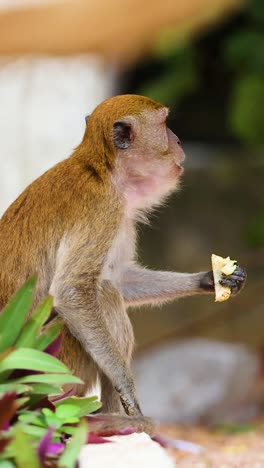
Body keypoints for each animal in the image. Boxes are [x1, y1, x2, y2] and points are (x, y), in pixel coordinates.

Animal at [0, 95, 245, 436]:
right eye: (164, 124)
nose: (178, 140)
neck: (101, 170)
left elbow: (121, 279)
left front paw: (210, 279)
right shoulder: (104, 209)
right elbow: (73, 292)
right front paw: (127, 390)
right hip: (51, 366)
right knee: (103, 295)